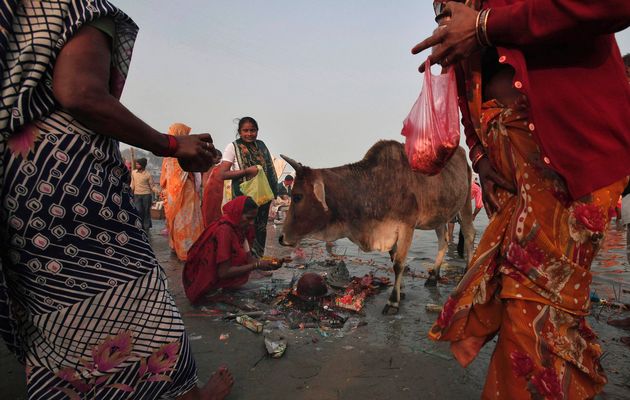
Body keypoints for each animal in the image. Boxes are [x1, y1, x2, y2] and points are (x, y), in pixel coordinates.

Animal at [280, 141, 474, 316]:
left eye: (297, 196)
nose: (281, 238)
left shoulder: (407, 226)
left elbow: (398, 264)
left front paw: (393, 301)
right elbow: (393, 258)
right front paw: (401, 289)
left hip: (465, 202)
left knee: (469, 235)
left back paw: (467, 271)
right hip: (440, 215)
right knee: (443, 242)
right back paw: (433, 276)